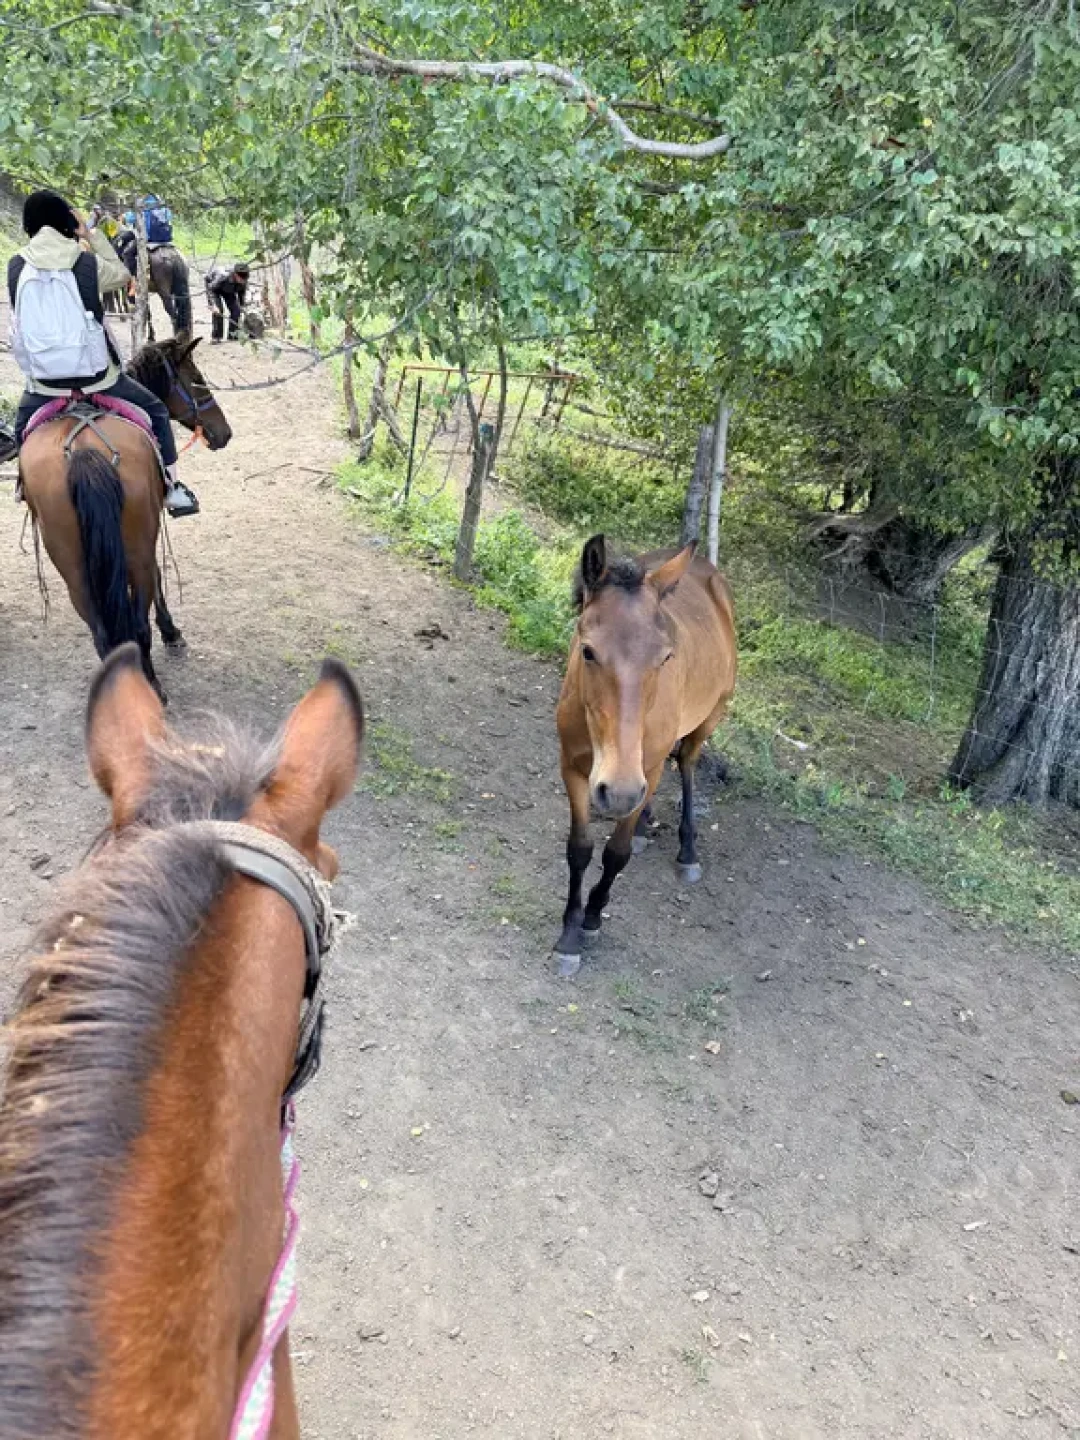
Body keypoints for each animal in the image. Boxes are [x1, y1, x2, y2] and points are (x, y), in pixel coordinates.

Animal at [18, 336, 232, 702]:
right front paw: (171, 632)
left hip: (73, 565)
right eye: (198, 379)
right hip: (134, 548)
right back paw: (151, 685)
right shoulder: (150, 532)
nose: (225, 433)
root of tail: (83, 451)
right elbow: (158, 578)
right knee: (138, 623)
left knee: (102, 634)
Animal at [553, 534, 737, 975]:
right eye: (587, 651)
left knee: (686, 763)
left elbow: (615, 854)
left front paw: (592, 919)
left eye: (665, 656)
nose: (619, 792)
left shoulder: (646, 771)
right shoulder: (573, 768)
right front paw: (569, 935)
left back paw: (687, 850)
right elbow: (580, 850)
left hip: (710, 717)